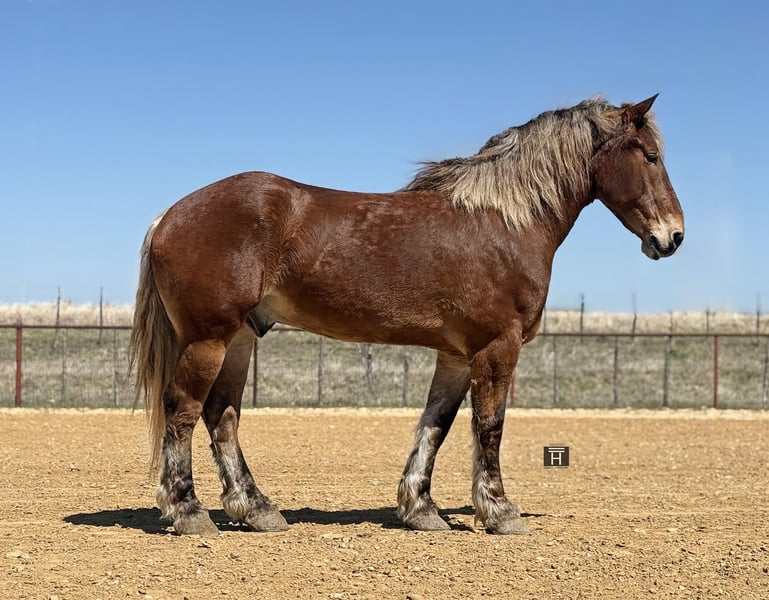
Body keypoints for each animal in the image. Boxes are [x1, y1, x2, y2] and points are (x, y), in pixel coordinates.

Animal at [129, 94, 684, 536]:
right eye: (651, 156)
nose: (673, 236)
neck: (504, 223)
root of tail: (168, 216)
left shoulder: (456, 356)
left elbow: (436, 425)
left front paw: (421, 509)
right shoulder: (496, 348)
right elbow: (490, 426)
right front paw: (500, 512)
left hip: (240, 339)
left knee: (221, 416)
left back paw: (257, 509)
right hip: (208, 339)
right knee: (183, 410)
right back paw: (188, 511)